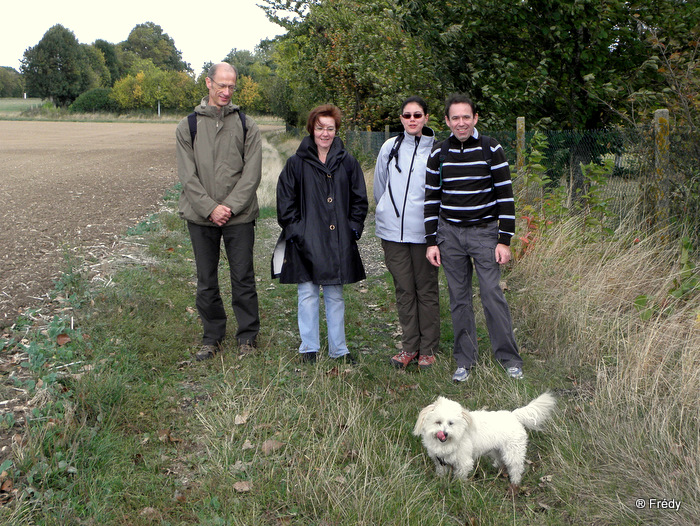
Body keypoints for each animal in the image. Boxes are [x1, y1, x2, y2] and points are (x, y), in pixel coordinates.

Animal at [412, 394, 556, 488]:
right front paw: (440, 479)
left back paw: (515, 482)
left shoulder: (464, 462)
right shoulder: (440, 460)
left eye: (451, 423)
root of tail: (513, 415)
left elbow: (460, 476)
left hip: (513, 451)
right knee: (501, 459)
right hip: (498, 449)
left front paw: (458, 485)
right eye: (438, 422)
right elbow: (441, 471)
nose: (444, 434)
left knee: (516, 467)